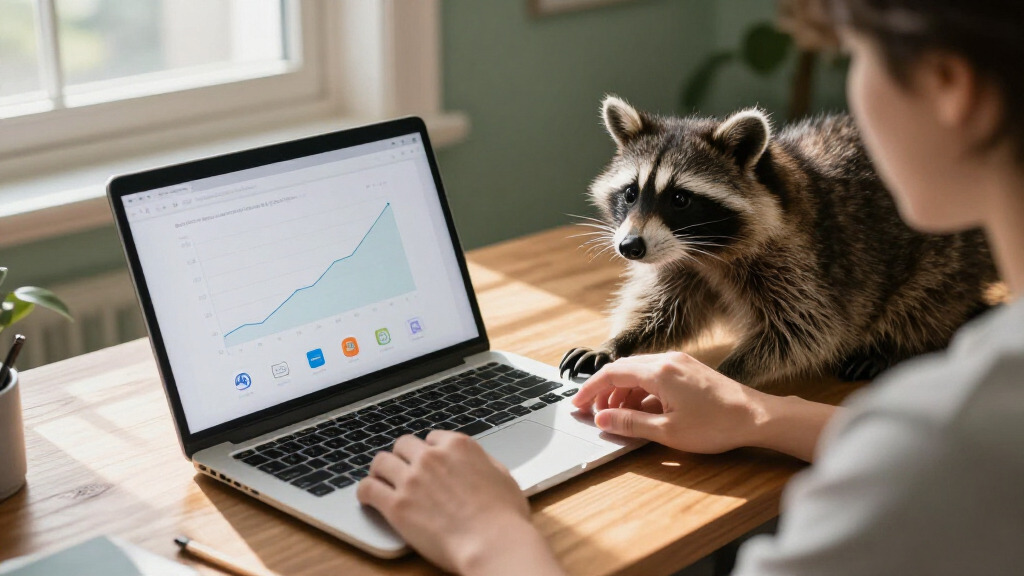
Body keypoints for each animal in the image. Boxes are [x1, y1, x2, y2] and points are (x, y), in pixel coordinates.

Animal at [560, 96, 998, 386]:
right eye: (631, 193)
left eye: (680, 199)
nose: (630, 247)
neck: (707, 252)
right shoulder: (680, 262)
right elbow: (665, 311)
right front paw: (618, 342)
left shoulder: (801, 260)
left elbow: (808, 330)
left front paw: (723, 375)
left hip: (949, 256)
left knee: (927, 301)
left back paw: (896, 344)